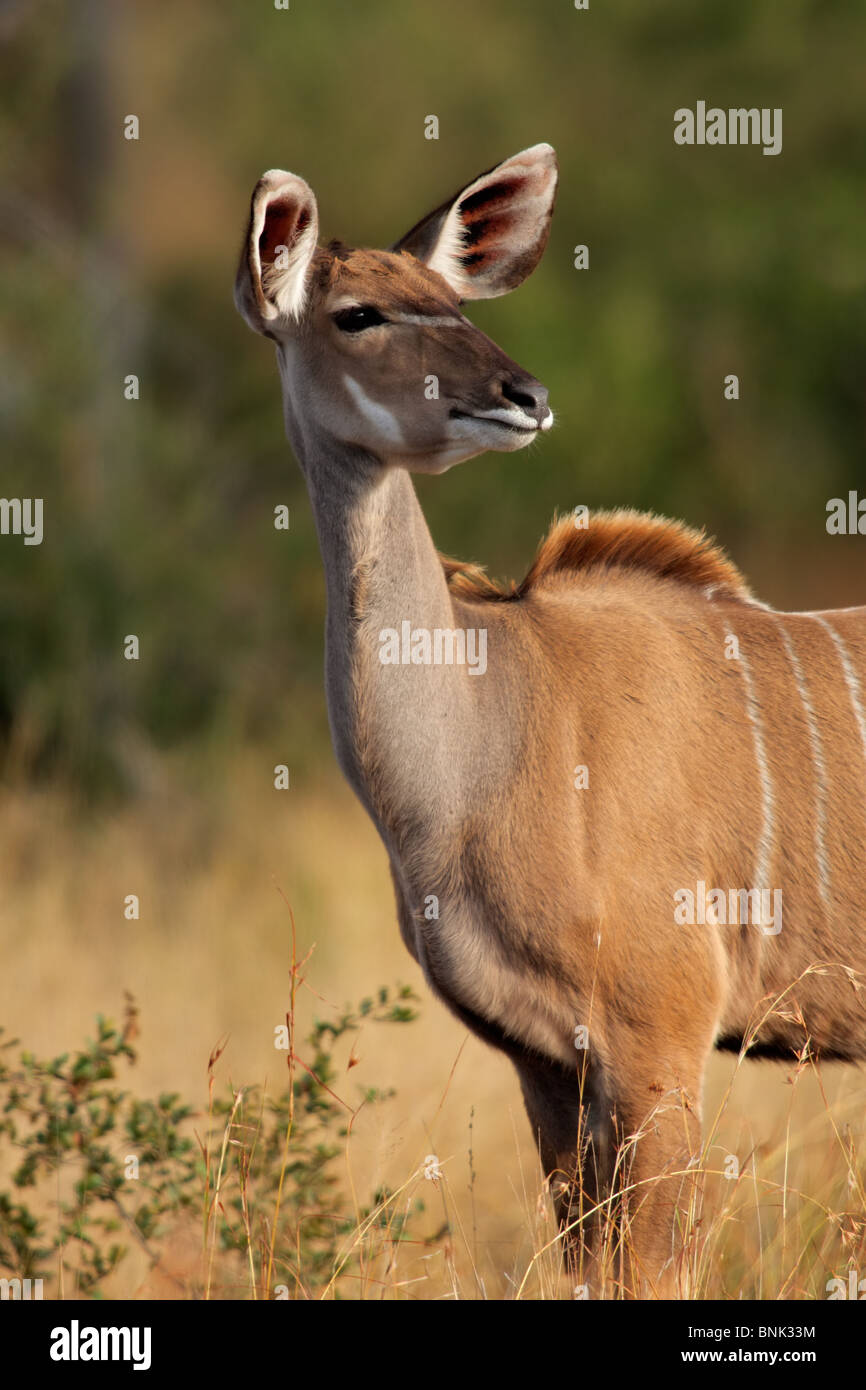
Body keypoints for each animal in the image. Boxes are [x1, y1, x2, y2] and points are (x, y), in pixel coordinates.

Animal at [234, 141, 866, 1289]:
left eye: (451, 300)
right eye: (358, 313)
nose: (520, 395)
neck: (490, 735)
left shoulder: (659, 1043)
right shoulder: (546, 1063)